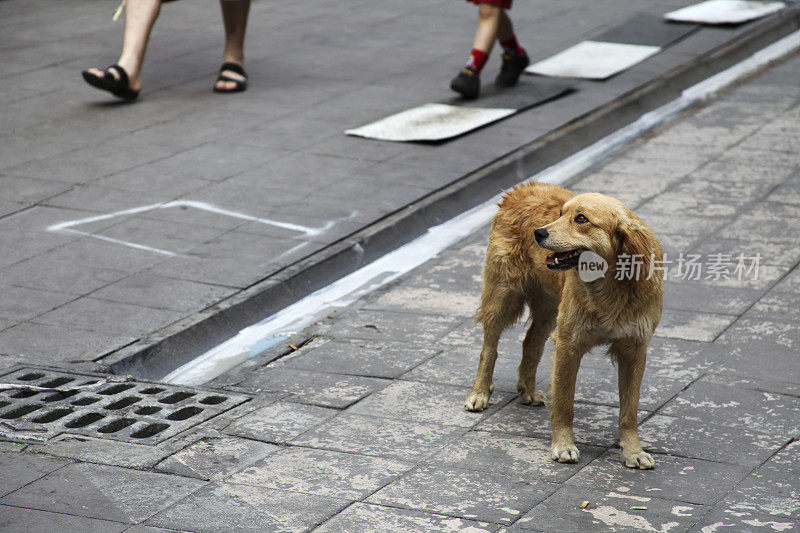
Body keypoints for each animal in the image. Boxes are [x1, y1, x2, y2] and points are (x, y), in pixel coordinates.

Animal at [462, 181, 664, 468]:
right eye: (560, 213)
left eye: (581, 219)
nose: (538, 232)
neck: (610, 287)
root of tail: (522, 188)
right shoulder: (569, 345)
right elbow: (564, 404)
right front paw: (564, 446)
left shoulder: (635, 350)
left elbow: (630, 410)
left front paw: (633, 451)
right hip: (501, 297)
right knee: (489, 350)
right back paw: (479, 393)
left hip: (549, 308)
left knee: (531, 343)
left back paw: (527, 389)